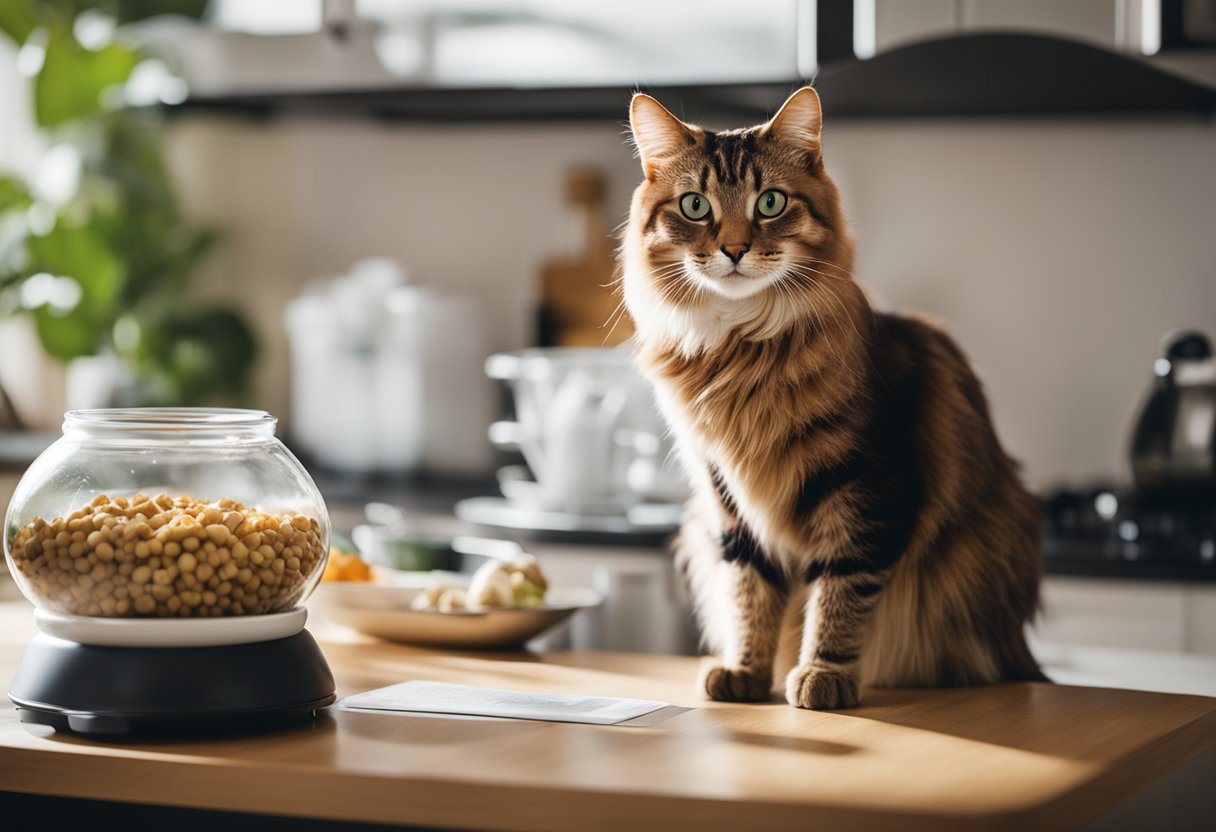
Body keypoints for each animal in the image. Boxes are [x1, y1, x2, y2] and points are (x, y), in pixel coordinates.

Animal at [622, 86, 1050, 710]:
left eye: (770, 203)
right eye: (695, 206)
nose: (734, 249)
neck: (743, 352)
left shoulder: (870, 490)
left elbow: (840, 591)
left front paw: (823, 675)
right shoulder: (729, 500)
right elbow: (752, 593)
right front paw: (745, 672)